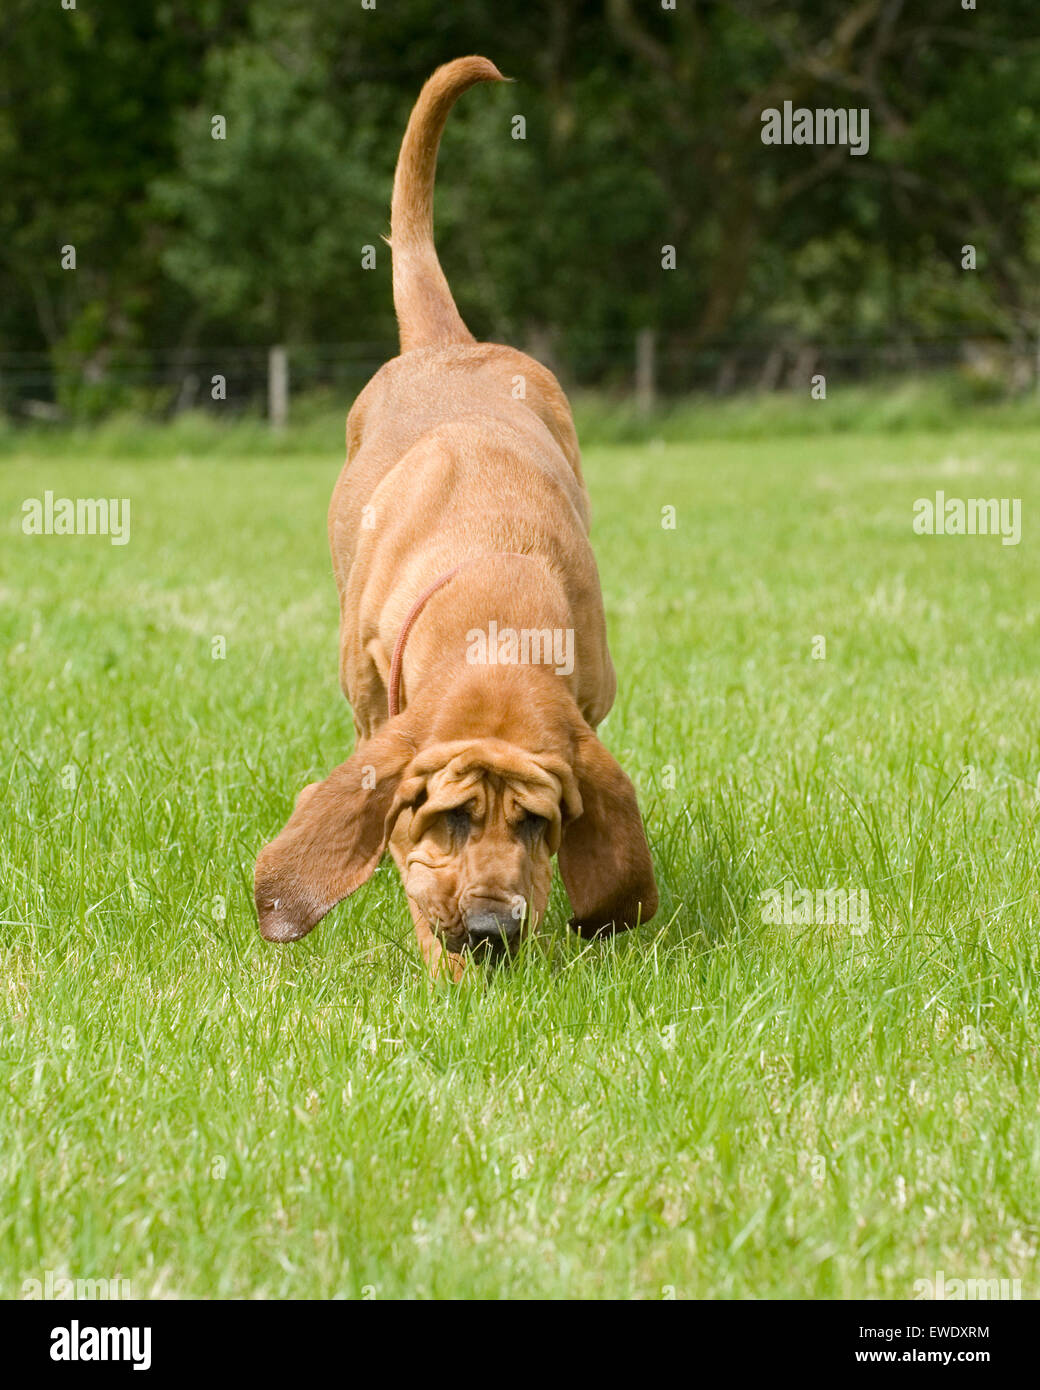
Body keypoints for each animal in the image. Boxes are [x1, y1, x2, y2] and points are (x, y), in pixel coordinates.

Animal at [254, 56, 659, 978]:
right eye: (453, 816)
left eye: (539, 823)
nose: (491, 933)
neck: (494, 598)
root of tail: (449, 342)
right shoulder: (382, 714)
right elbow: (397, 838)